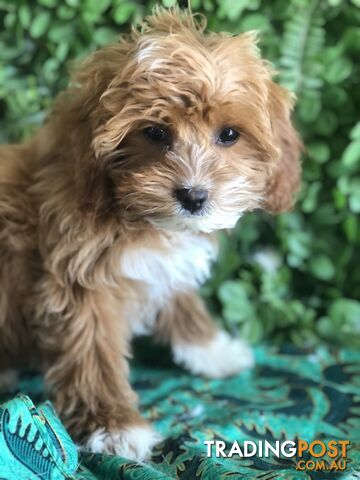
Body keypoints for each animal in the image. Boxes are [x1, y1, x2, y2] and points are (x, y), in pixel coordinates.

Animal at [0, 5, 300, 460]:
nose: (193, 196)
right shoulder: (77, 280)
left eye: (229, 134)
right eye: (155, 132)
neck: (141, 219)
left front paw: (212, 350)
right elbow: (92, 353)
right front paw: (113, 426)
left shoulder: (164, 264)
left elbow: (181, 299)